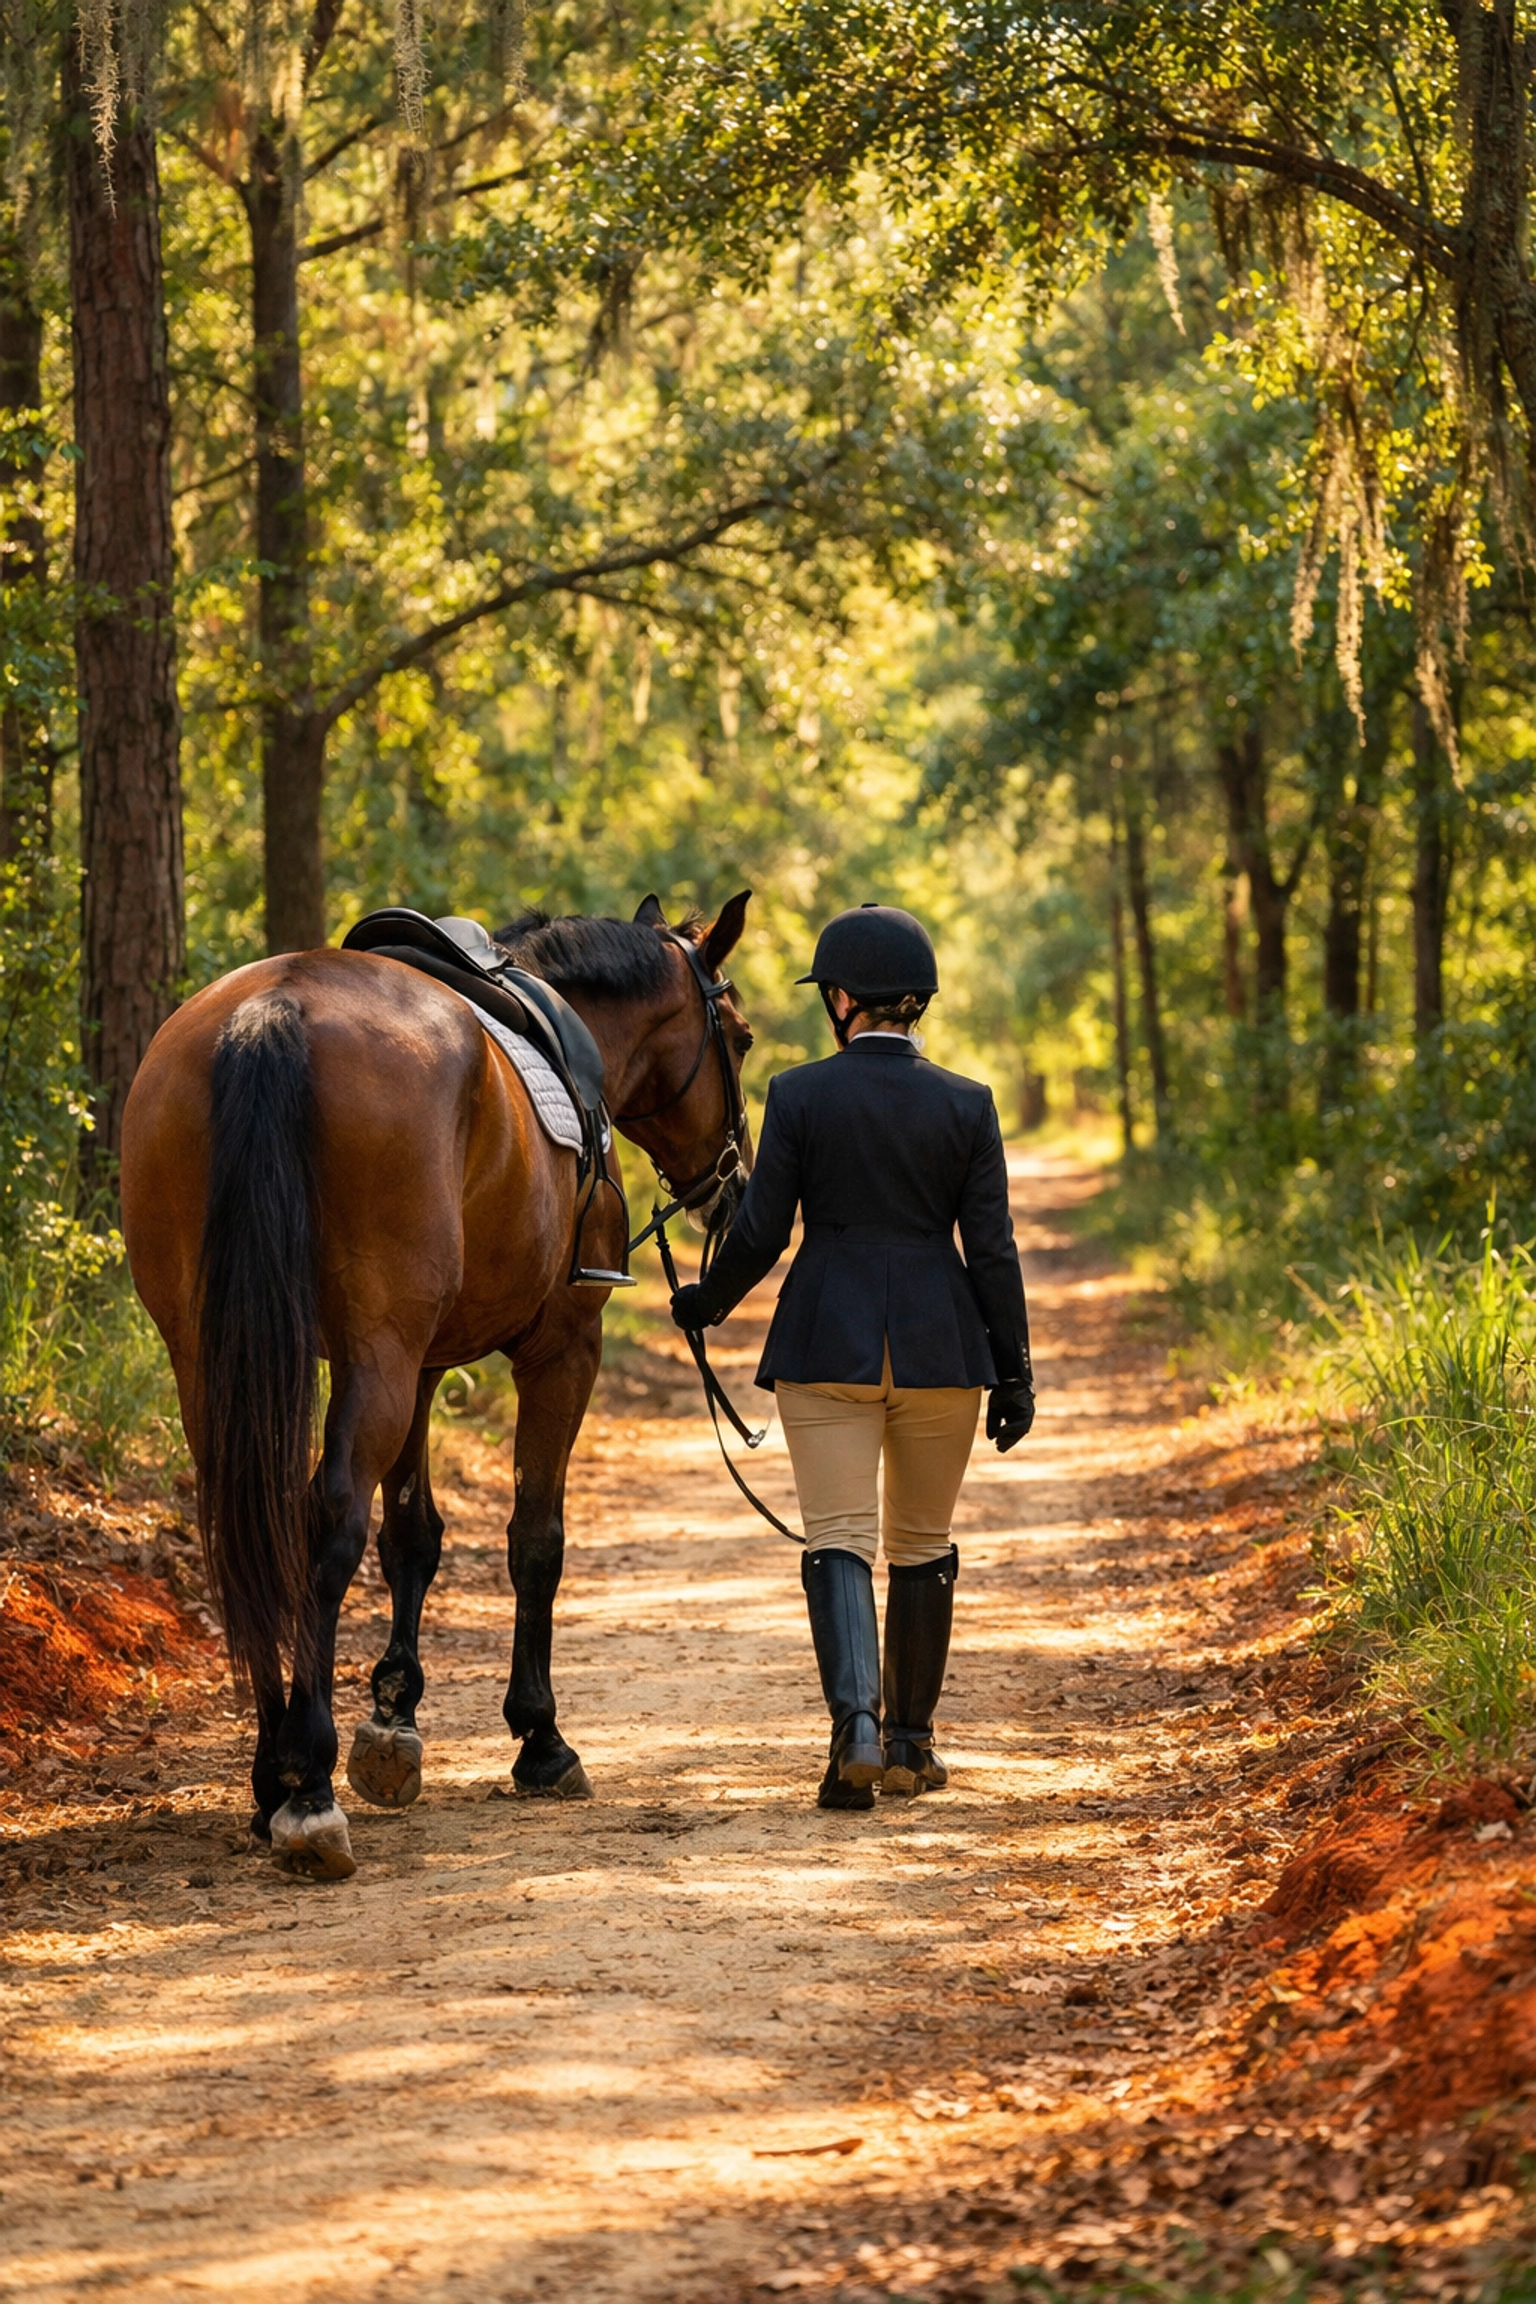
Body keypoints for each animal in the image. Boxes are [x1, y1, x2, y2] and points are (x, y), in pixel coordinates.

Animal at [120, 893, 754, 1880]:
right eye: (742, 1037)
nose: (735, 1183)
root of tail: (272, 1010)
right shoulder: (560, 1350)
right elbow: (535, 1539)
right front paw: (539, 1737)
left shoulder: (416, 1362)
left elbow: (412, 1536)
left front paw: (393, 1714)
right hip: (375, 1354)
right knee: (326, 1523)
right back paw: (307, 1788)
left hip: (216, 1358)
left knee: (248, 1523)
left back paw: (270, 1778)